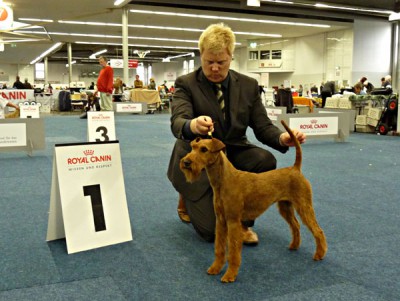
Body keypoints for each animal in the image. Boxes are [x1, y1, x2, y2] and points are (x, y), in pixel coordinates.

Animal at [180, 119, 326, 282]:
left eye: (204, 149)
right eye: (193, 147)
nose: (186, 162)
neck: (223, 180)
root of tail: (295, 168)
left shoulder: (232, 221)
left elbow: (233, 252)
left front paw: (230, 275)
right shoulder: (221, 220)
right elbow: (219, 248)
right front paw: (215, 268)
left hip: (304, 205)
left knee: (318, 230)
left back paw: (319, 254)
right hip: (285, 206)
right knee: (295, 225)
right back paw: (294, 246)